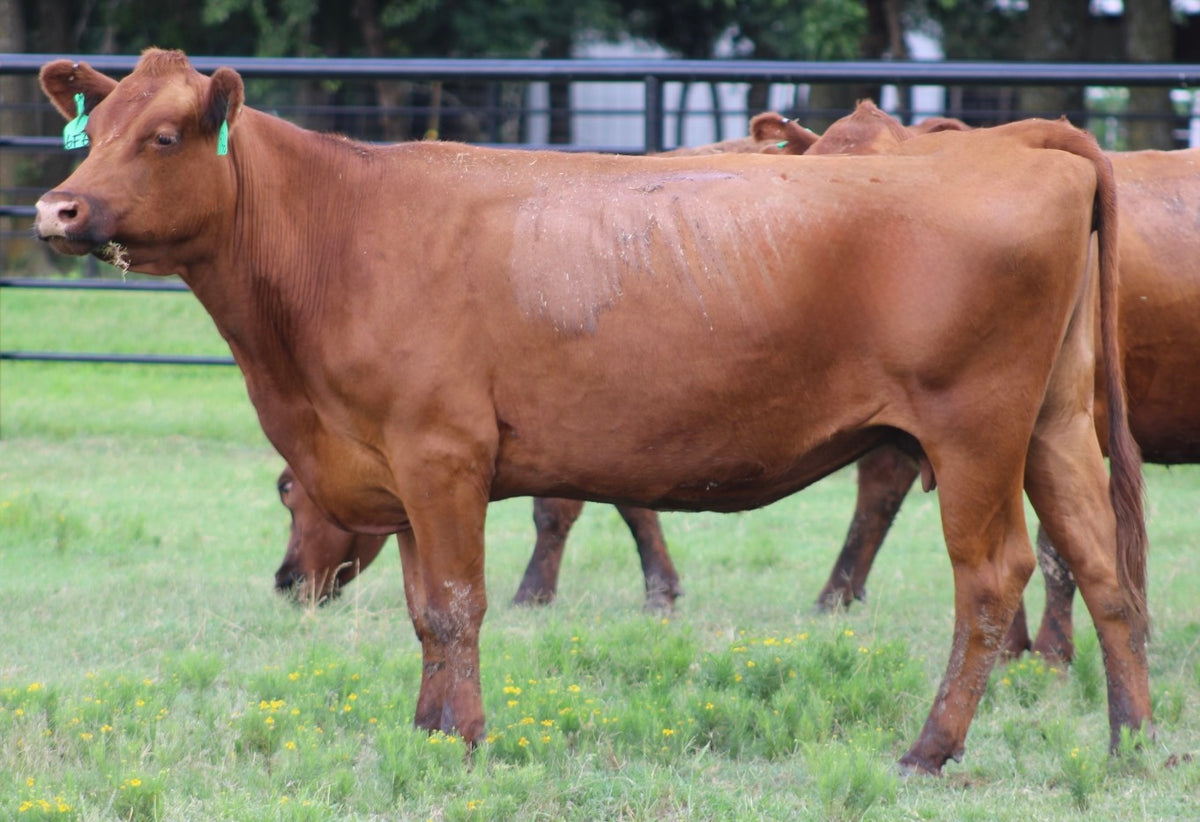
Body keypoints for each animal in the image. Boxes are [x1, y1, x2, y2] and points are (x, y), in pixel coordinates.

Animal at [34, 49, 1150, 774]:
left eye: (163, 136)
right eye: (91, 134)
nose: (55, 208)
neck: (342, 233)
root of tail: (1037, 151)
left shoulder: (441, 453)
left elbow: (456, 605)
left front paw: (462, 742)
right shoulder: (401, 465)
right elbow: (424, 610)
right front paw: (428, 732)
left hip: (974, 434)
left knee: (994, 578)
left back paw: (930, 747)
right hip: (1053, 428)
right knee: (1103, 568)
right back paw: (1131, 739)